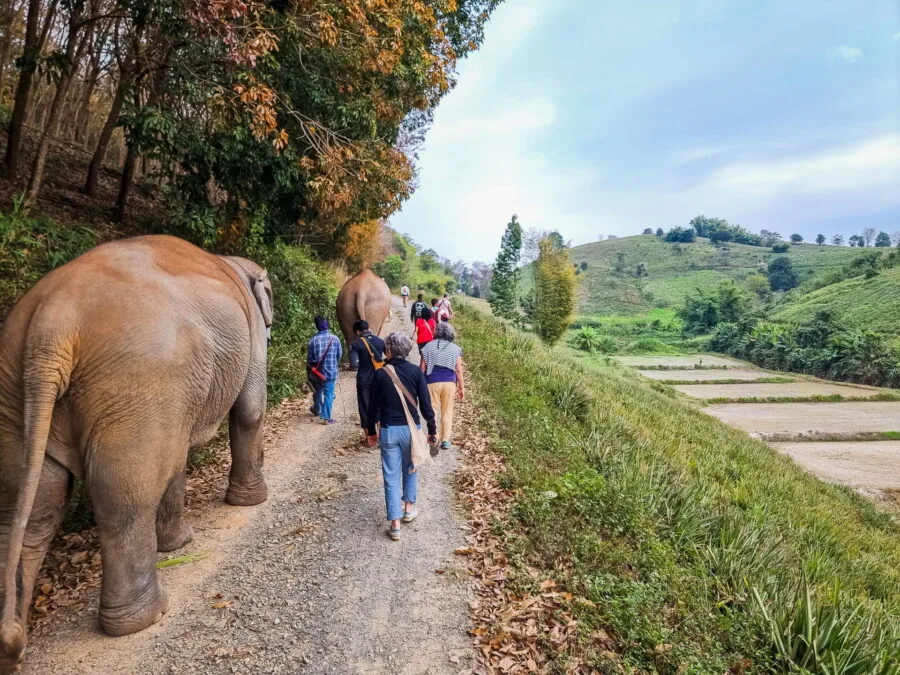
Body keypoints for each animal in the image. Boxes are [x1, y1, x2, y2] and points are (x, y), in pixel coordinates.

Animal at [0, 235, 273, 673]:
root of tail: (52, 322)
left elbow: (176, 456)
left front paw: (176, 545)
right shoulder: (248, 332)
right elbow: (249, 409)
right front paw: (251, 504)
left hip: (16, 391)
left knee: (31, 505)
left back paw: (12, 648)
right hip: (139, 382)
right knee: (121, 497)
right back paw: (146, 617)